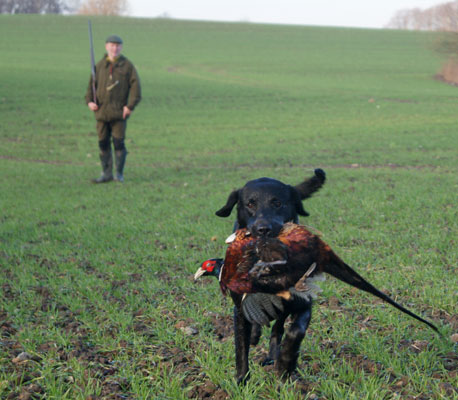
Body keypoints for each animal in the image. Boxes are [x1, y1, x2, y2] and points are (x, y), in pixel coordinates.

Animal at [215, 169, 326, 382]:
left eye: (277, 203)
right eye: (250, 204)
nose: (263, 229)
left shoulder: (303, 303)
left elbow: (295, 331)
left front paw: (286, 364)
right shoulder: (239, 310)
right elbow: (241, 349)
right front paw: (241, 381)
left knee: (278, 327)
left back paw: (274, 356)